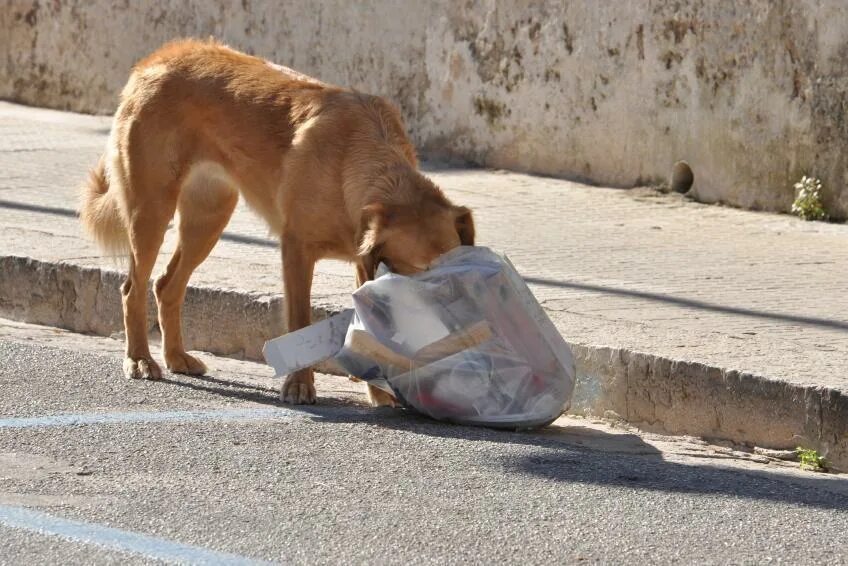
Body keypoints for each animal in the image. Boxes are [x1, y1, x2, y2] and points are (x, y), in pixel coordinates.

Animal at [79, 38, 474, 404]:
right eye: (423, 273)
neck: (363, 164)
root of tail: (157, 58)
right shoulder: (297, 250)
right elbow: (299, 319)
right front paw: (299, 384)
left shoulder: (365, 262)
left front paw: (378, 392)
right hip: (152, 211)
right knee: (133, 288)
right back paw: (140, 359)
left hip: (207, 219)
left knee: (166, 285)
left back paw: (175, 356)